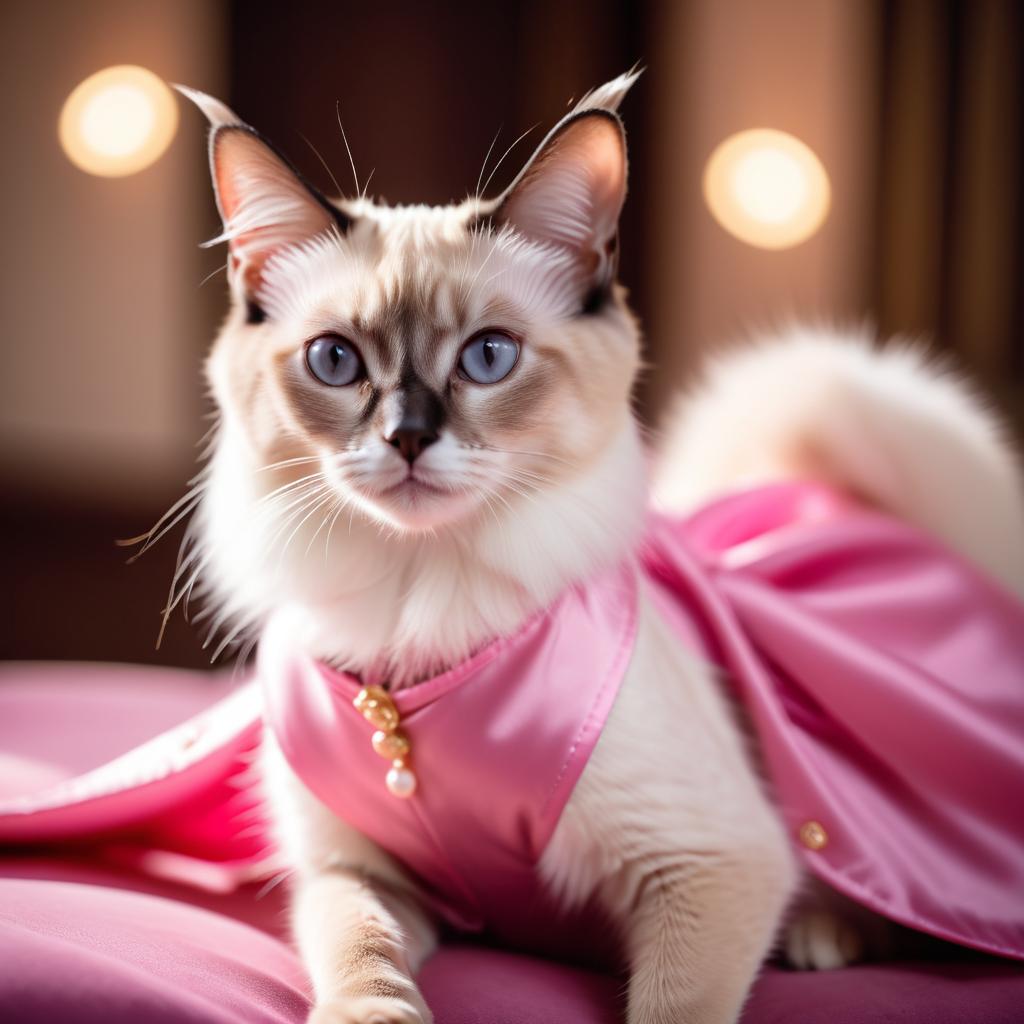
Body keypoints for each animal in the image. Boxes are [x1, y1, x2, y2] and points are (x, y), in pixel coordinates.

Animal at [172, 74, 1024, 1024]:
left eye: (488, 357)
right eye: (334, 362)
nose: (408, 438)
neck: (418, 612)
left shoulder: (710, 863)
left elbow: (670, 1011)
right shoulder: (355, 870)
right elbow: (362, 955)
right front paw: (373, 1015)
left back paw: (821, 939)